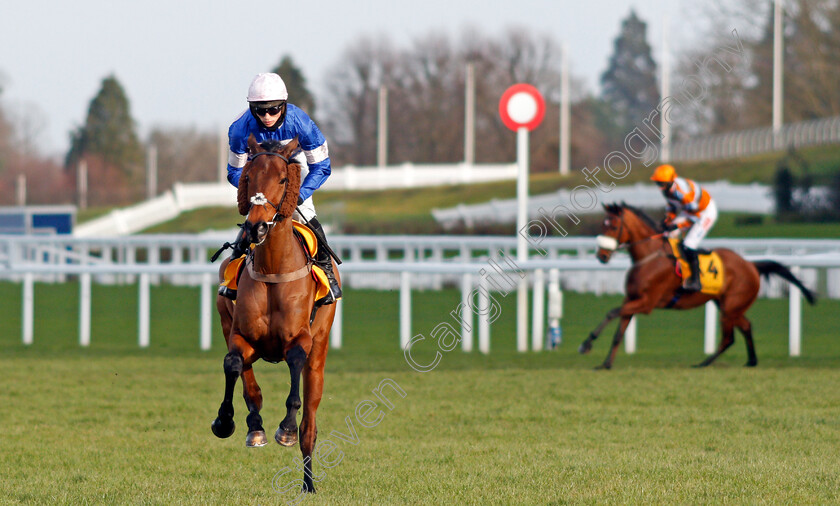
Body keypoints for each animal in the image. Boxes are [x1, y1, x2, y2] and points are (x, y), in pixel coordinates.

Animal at [212, 136, 340, 492]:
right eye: (248, 177)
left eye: (283, 179)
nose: (255, 228)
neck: (272, 269)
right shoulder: (240, 334)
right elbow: (234, 365)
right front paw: (228, 421)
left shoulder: (301, 339)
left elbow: (295, 362)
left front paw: (286, 428)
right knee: (246, 377)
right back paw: (254, 426)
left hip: (319, 354)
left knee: (310, 423)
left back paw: (308, 482)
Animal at [576, 201, 812, 368]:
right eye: (602, 224)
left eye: (614, 225)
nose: (601, 256)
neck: (650, 257)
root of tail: (750, 264)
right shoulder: (632, 299)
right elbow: (619, 331)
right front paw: (606, 364)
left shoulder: (647, 303)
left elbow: (611, 312)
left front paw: (586, 344)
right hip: (727, 305)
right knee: (745, 326)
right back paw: (750, 361)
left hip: (731, 306)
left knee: (729, 338)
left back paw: (704, 363)